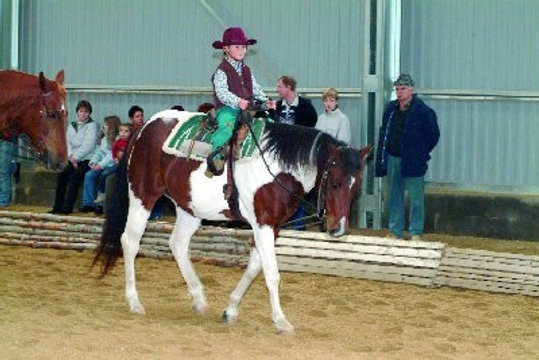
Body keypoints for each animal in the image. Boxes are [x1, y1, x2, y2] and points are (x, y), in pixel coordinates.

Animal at [94, 110, 372, 334]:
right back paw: (134, 301)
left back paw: (199, 299)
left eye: (356, 185)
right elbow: (271, 273)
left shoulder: (272, 226)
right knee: (130, 242)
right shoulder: (263, 224)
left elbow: (254, 267)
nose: (338, 228)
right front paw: (281, 320)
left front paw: (231, 309)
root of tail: (144, 127)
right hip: (142, 196)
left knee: (178, 244)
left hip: (189, 208)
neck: (278, 166)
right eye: (334, 182)